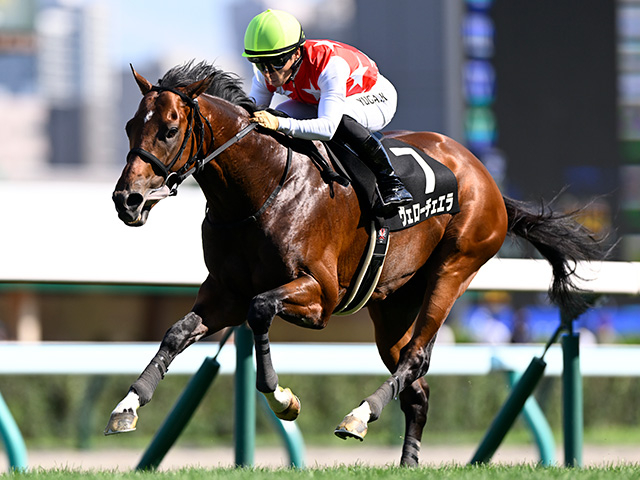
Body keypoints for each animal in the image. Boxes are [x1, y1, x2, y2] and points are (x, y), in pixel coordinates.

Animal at [107, 62, 604, 466]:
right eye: (130, 125)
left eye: (170, 129)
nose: (127, 200)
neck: (260, 189)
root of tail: (487, 179)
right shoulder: (224, 293)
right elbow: (177, 332)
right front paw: (128, 405)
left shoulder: (320, 296)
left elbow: (261, 310)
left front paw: (284, 400)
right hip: (391, 303)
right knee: (416, 386)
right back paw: (407, 462)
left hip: (456, 266)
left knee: (416, 358)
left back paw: (360, 415)